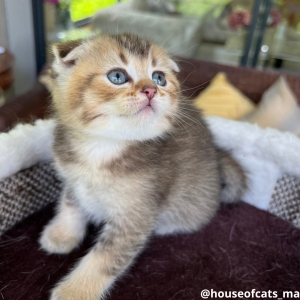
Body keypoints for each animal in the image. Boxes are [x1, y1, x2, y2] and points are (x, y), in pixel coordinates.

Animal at [39, 33, 246, 300]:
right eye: (117, 76)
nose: (151, 89)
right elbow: (70, 203)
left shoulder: (137, 214)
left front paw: (75, 291)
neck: (102, 147)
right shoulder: (73, 179)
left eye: (159, 78)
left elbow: (105, 258)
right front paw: (62, 234)